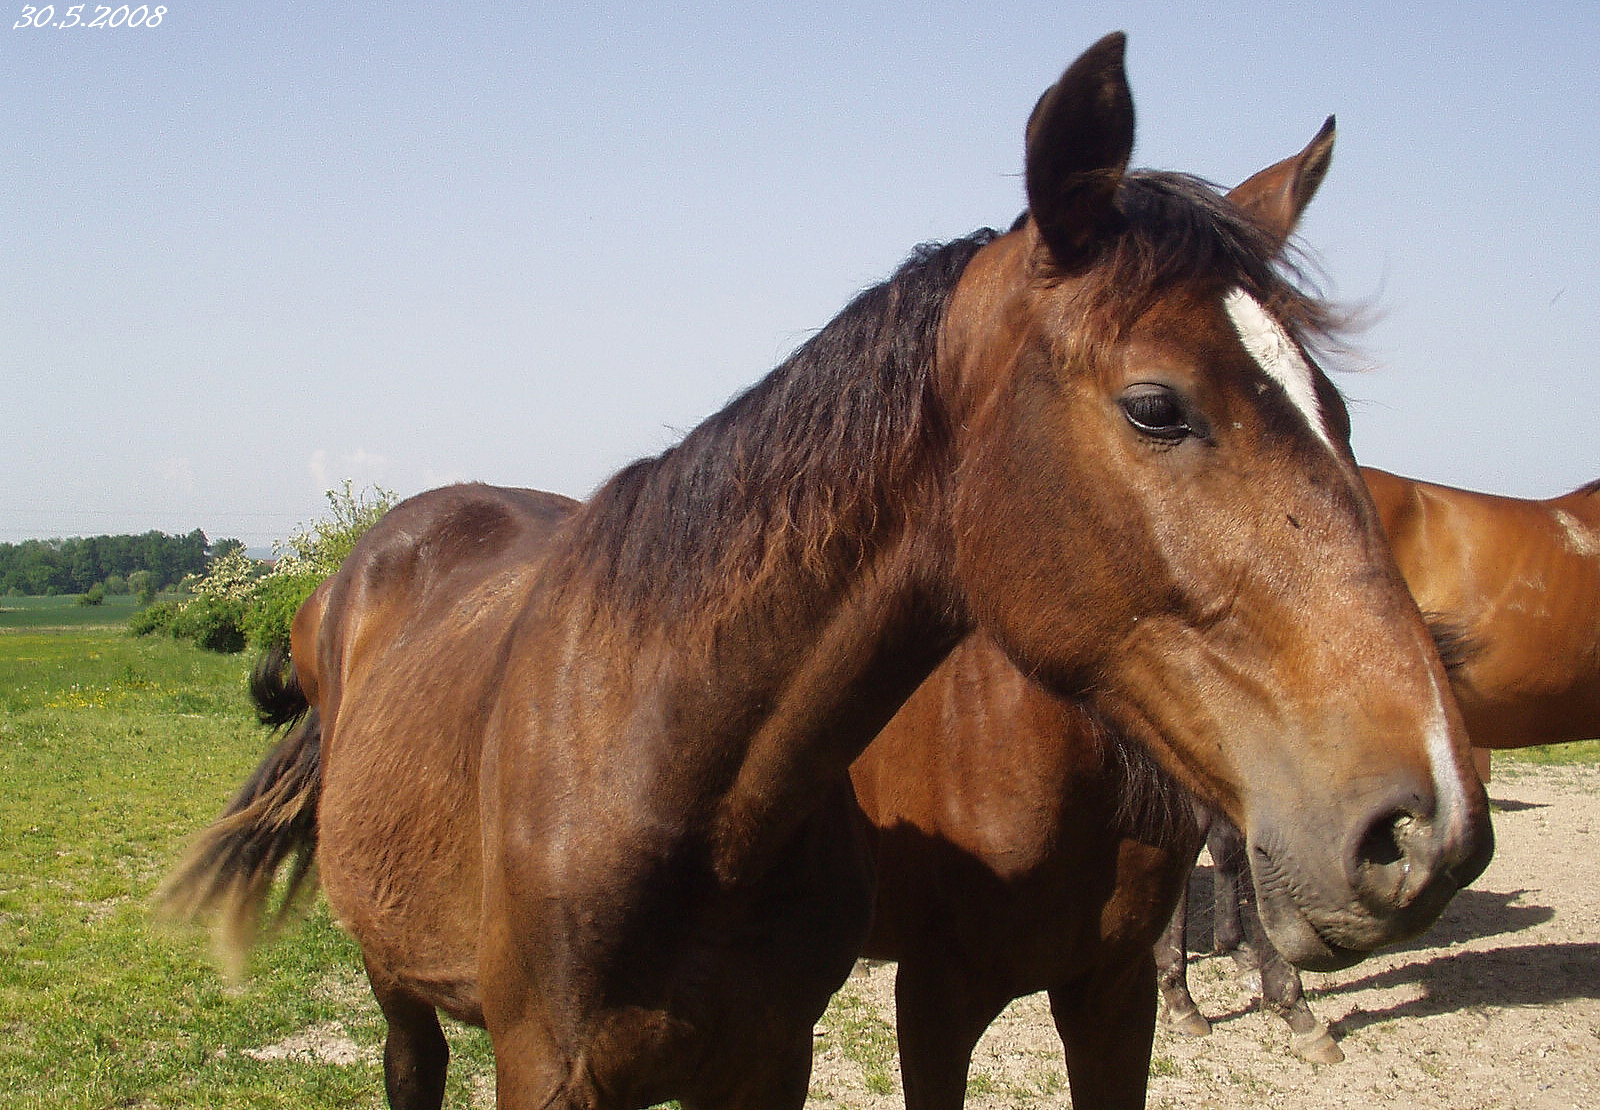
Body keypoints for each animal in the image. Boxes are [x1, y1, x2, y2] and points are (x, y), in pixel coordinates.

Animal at [159, 32, 1484, 1110]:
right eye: (1157, 406)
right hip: (401, 994)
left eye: (1336, 414)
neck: (672, 778)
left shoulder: (1014, 1013)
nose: (1425, 827)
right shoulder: (895, 1001)